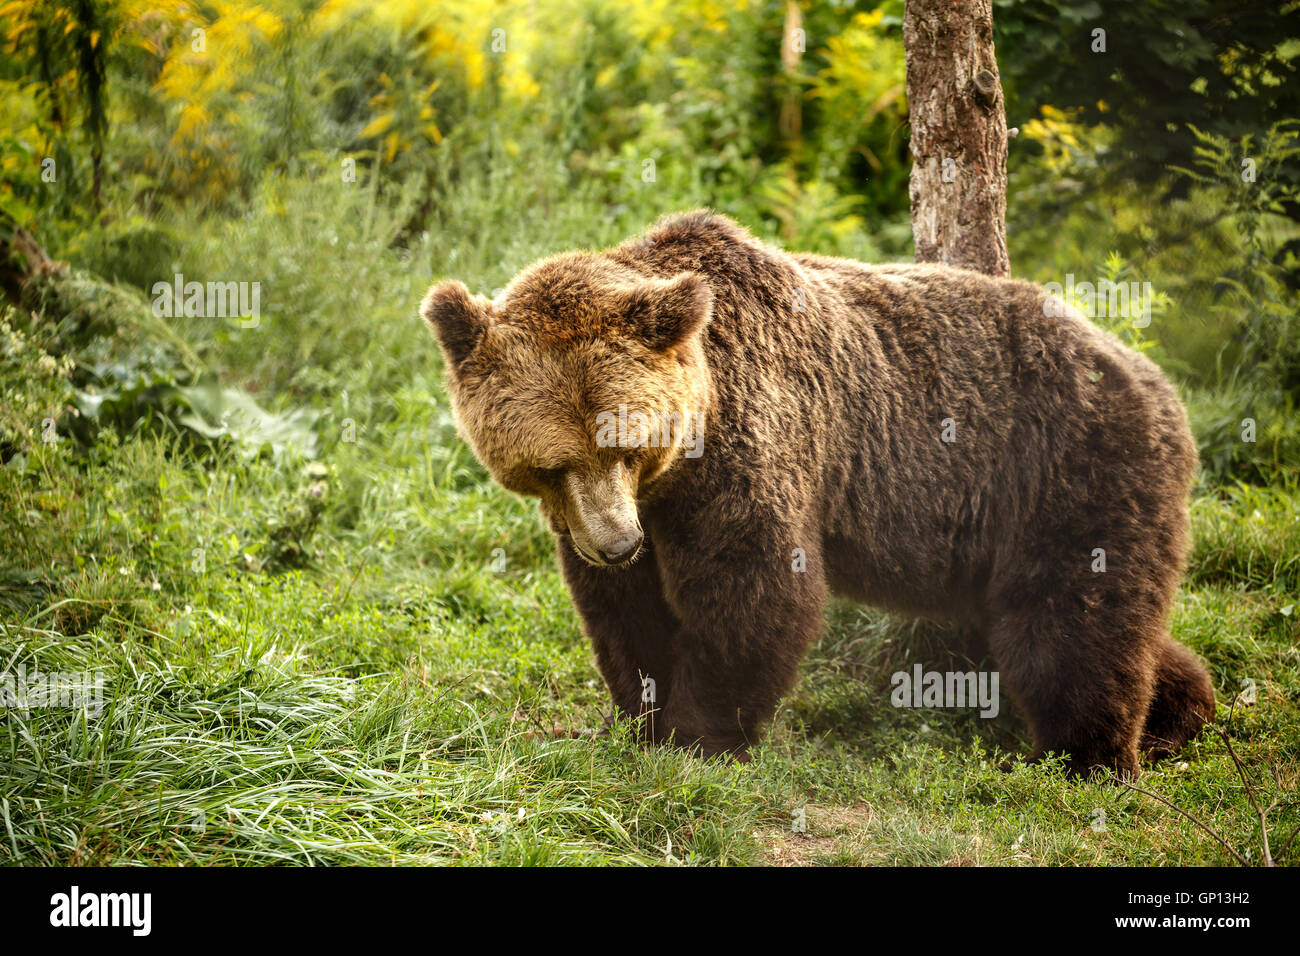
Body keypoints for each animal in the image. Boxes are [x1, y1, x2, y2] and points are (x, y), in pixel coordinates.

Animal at [420, 209, 1216, 778]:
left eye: (626, 443)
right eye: (552, 463)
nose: (618, 543)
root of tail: (1154, 380)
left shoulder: (751, 450)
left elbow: (755, 588)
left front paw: (698, 736)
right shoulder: (614, 516)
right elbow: (626, 613)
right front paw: (639, 716)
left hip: (1071, 472)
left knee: (1072, 625)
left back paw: (1093, 756)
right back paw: (1180, 707)